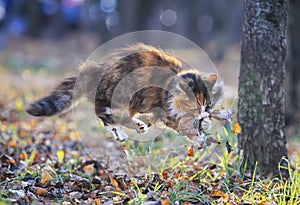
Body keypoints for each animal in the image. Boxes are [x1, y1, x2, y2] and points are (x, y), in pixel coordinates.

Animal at [27, 43, 223, 143]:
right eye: (195, 107)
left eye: (208, 106)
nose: (203, 114)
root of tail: (98, 70)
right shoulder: (167, 113)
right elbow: (186, 126)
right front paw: (200, 134)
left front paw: (205, 126)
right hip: (121, 95)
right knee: (106, 115)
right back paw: (125, 132)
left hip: (134, 102)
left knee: (118, 117)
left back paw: (136, 126)